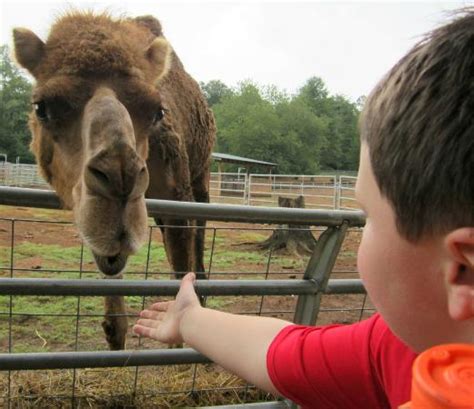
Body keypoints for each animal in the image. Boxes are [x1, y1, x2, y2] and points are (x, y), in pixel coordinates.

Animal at [12, 13, 217, 350]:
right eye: (42, 107)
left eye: (157, 111)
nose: (121, 178)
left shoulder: (179, 194)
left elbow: (180, 272)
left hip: (201, 177)